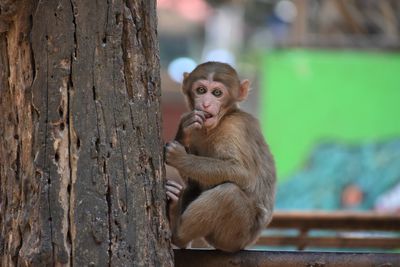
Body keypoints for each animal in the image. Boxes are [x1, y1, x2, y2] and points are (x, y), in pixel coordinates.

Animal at [163, 61, 276, 253]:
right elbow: (192, 179)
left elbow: (243, 173)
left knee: (229, 194)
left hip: (236, 236)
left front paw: (180, 158)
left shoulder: (234, 128)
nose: (206, 104)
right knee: (195, 185)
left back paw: (177, 232)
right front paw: (184, 131)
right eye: (201, 90)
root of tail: (250, 241)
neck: (221, 120)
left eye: (217, 93)